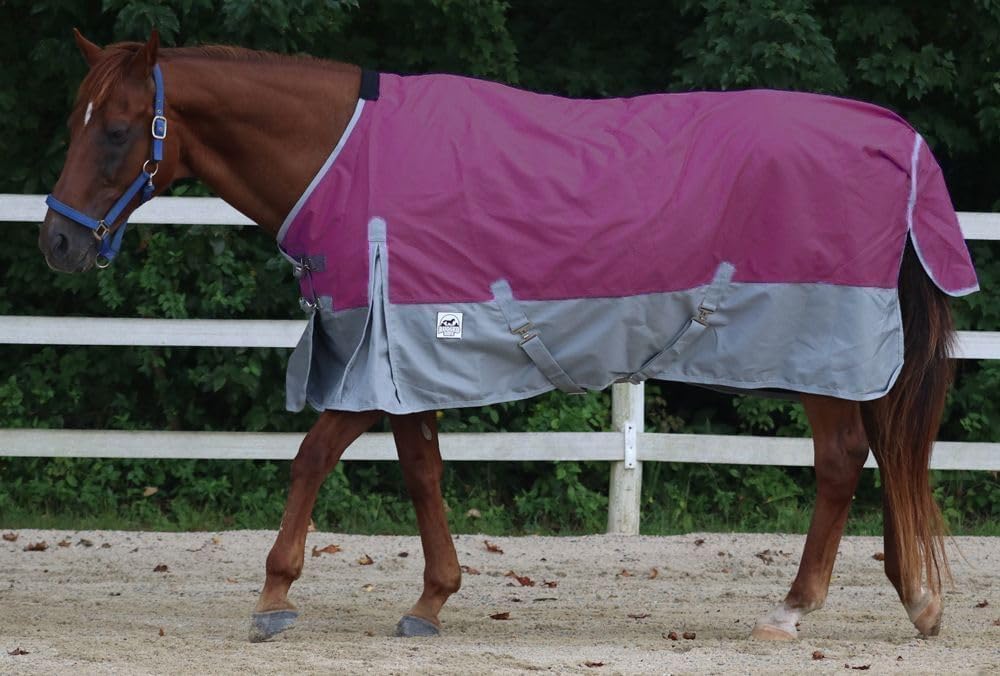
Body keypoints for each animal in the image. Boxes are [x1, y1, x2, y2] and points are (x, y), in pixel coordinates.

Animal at [39, 30, 976, 643]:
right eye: (75, 120)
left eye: (116, 129)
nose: (57, 243)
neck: (347, 160)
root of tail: (895, 138)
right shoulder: (404, 357)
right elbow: (420, 471)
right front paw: (432, 600)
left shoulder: (376, 351)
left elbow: (311, 456)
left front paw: (274, 596)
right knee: (883, 454)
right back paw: (916, 601)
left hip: (820, 350)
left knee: (841, 462)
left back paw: (793, 609)